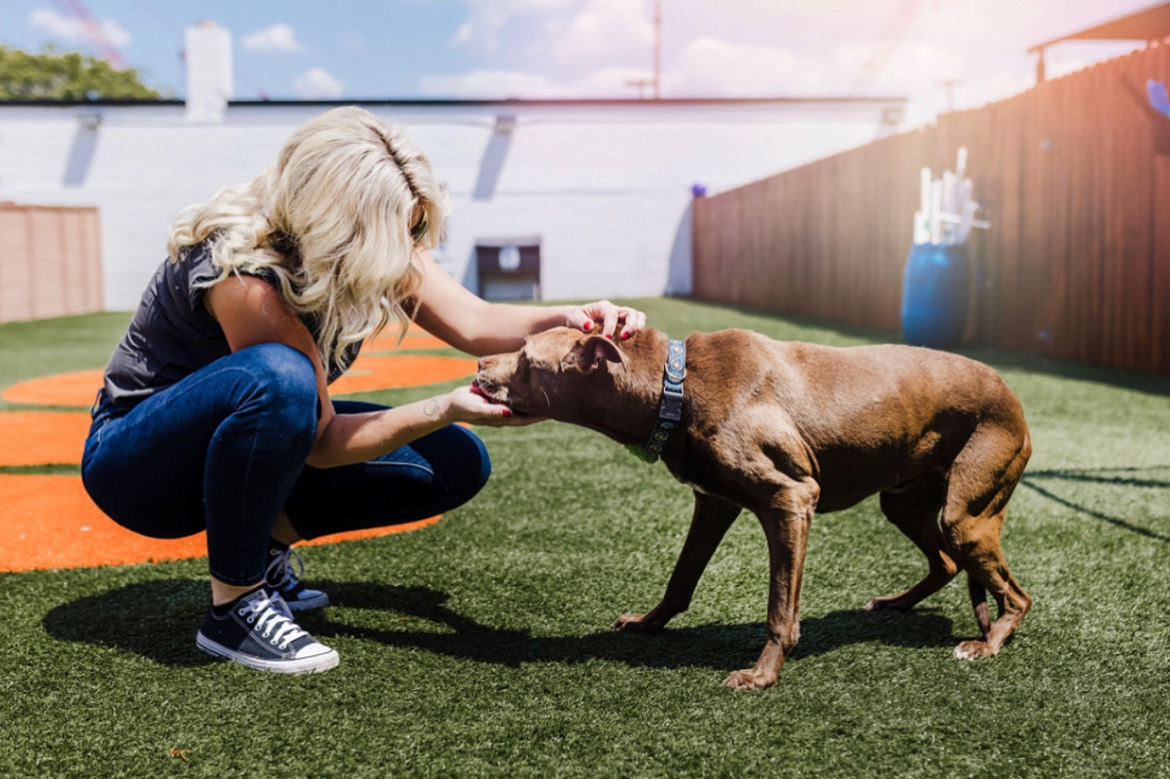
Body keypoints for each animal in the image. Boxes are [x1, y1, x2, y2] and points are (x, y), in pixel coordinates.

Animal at [474, 326, 1032, 690]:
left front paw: (762, 675)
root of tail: (1013, 396)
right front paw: (649, 623)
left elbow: (780, 609)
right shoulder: (714, 502)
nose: (478, 365)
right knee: (947, 562)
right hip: (904, 502)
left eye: (524, 356)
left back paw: (987, 644)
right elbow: (681, 579)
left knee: (1017, 596)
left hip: (965, 513)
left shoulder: (791, 501)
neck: (675, 385)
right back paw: (897, 603)